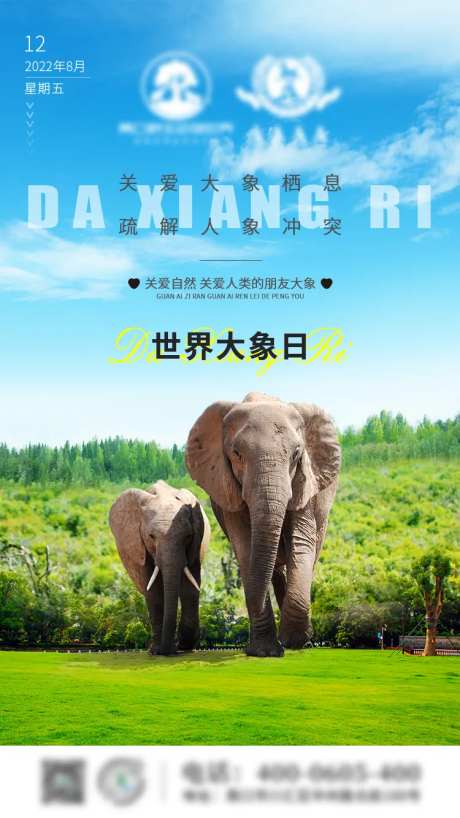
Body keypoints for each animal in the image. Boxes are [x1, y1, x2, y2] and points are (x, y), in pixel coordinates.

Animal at [109, 480, 210, 655]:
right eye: (151, 536)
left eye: (188, 536)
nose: (168, 651)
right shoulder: (141, 546)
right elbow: (153, 590)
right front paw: (157, 651)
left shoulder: (195, 544)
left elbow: (190, 587)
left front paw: (184, 646)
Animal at [186, 392, 340, 657]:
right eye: (237, 454)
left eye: (296, 454)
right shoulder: (229, 491)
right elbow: (246, 547)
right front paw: (265, 652)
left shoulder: (305, 483)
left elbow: (301, 542)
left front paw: (294, 641)